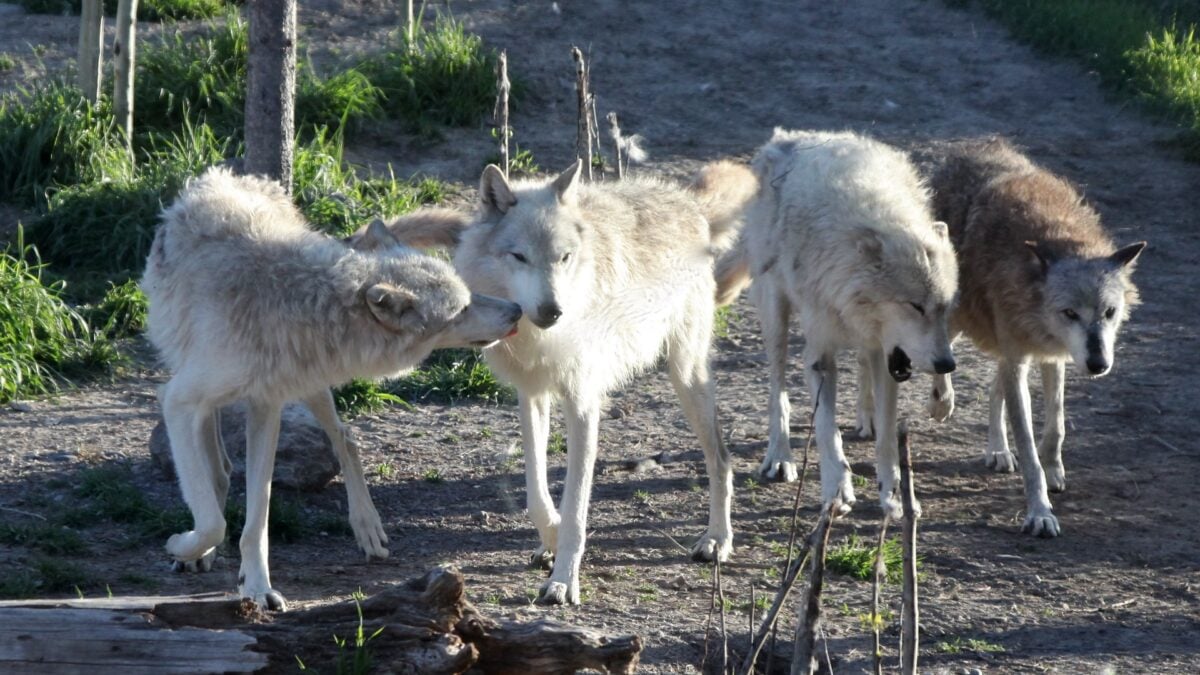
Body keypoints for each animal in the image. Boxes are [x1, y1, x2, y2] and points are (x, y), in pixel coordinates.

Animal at [142, 167, 522, 610]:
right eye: (461, 309)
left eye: (468, 296)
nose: (517, 310)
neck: (301, 299)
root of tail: (233, 175)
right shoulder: (179, 400)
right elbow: (212, 518)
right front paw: (186, 546)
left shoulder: (266, 405)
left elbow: (256, 518)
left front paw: (257, 587)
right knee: (220, 468)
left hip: (310, 388)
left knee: (345, 437)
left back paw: (366, 525)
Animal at [380, 160, 739, 605]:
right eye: (520, 256)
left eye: (564, 258)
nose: (553, 310)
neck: (539, 337)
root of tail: (686, 201)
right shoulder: (532, 395)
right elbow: (536, 491)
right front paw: (548, 539)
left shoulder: (582, 403)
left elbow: (576, 506)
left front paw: (564, 579)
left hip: (686, 375)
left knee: (721, 458)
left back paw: (717, 540)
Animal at [715, 129, 959, 518]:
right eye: (915, 306)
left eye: (944, 307)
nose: (947, 363)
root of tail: (787, 137)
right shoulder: (821, 356)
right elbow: (827, 431)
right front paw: (837, 491)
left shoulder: (890, 355)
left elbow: (888, 438)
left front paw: (893, 496)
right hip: (775, 313)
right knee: (777, 389)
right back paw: (780, 456)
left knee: (864, 365)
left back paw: (870, 418)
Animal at [915, 138, 1145, 538]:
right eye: (1070, 313)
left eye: (1109, 313)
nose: (1098, 364)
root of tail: (967, 146)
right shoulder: (1024, 355)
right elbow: (1029, 449)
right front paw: (1040, 512)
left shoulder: (1053, 356)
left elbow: (1055, 427)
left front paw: (1054, 472)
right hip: (956, 317)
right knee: (930, 355)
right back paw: (932, 405)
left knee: (995, 388)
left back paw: (997, 450)